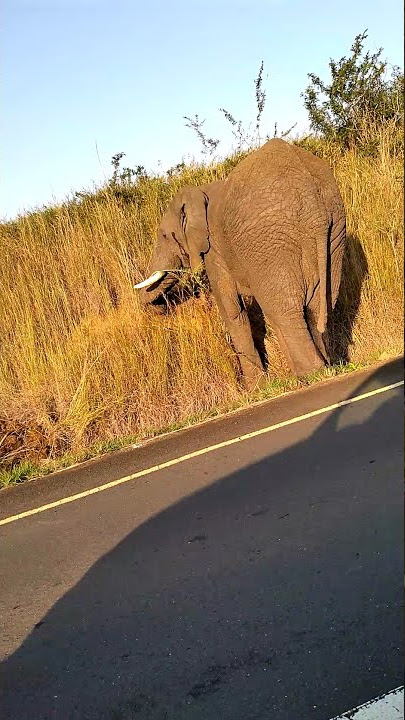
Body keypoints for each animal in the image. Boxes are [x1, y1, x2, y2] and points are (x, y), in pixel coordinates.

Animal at [134, 139, 346, 390]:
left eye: (165, 236)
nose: (160, 308)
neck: (200, 191)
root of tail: (311, 198)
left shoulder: (214, 250)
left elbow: (232, 311)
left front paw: (255, 389)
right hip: (334, 229)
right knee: (318, 304)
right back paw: (324, 367)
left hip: (270, 240)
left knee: (283, 310)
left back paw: (312, 375)